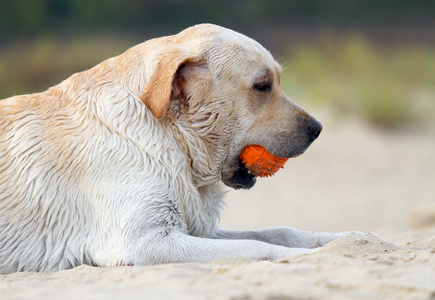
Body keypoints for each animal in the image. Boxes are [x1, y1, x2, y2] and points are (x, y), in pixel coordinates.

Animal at [0, 24, 354, 274]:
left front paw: (341, 241)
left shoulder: (192, 228)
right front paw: (307, 255)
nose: (317, 129)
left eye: (276, 81)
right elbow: (256, 247)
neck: (172, 136)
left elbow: (277, 232)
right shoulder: (145, 241)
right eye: (262, 86)